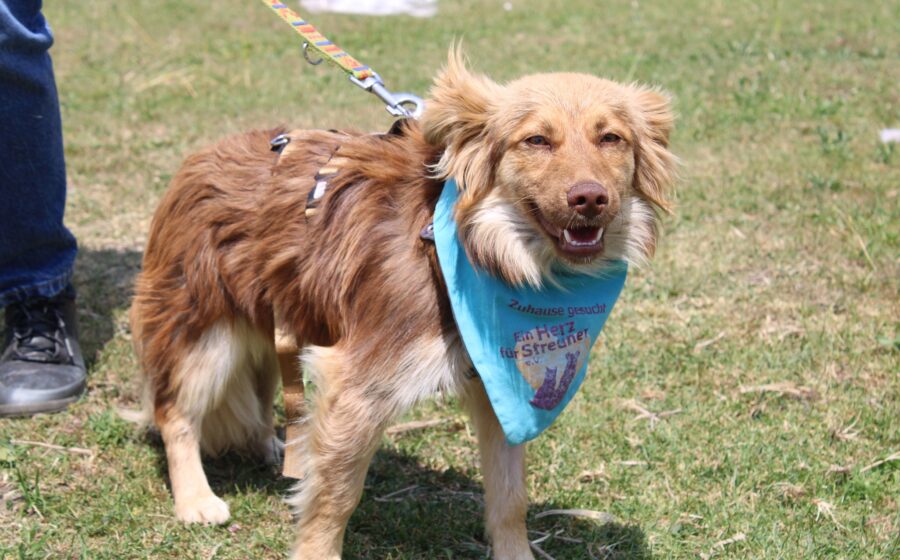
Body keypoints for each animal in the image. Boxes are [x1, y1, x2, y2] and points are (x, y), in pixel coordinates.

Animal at [130, 51, 676, 559]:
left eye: (611, 139)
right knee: (175, 413)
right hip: (204, 331)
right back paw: (196, 499)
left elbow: (509, 497)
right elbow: (336, 498)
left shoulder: (502, 385)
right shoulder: (356, 381)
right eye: (537, 141)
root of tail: (200, 157)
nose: (590, 198)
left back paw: (276, 445)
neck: (486, 251)